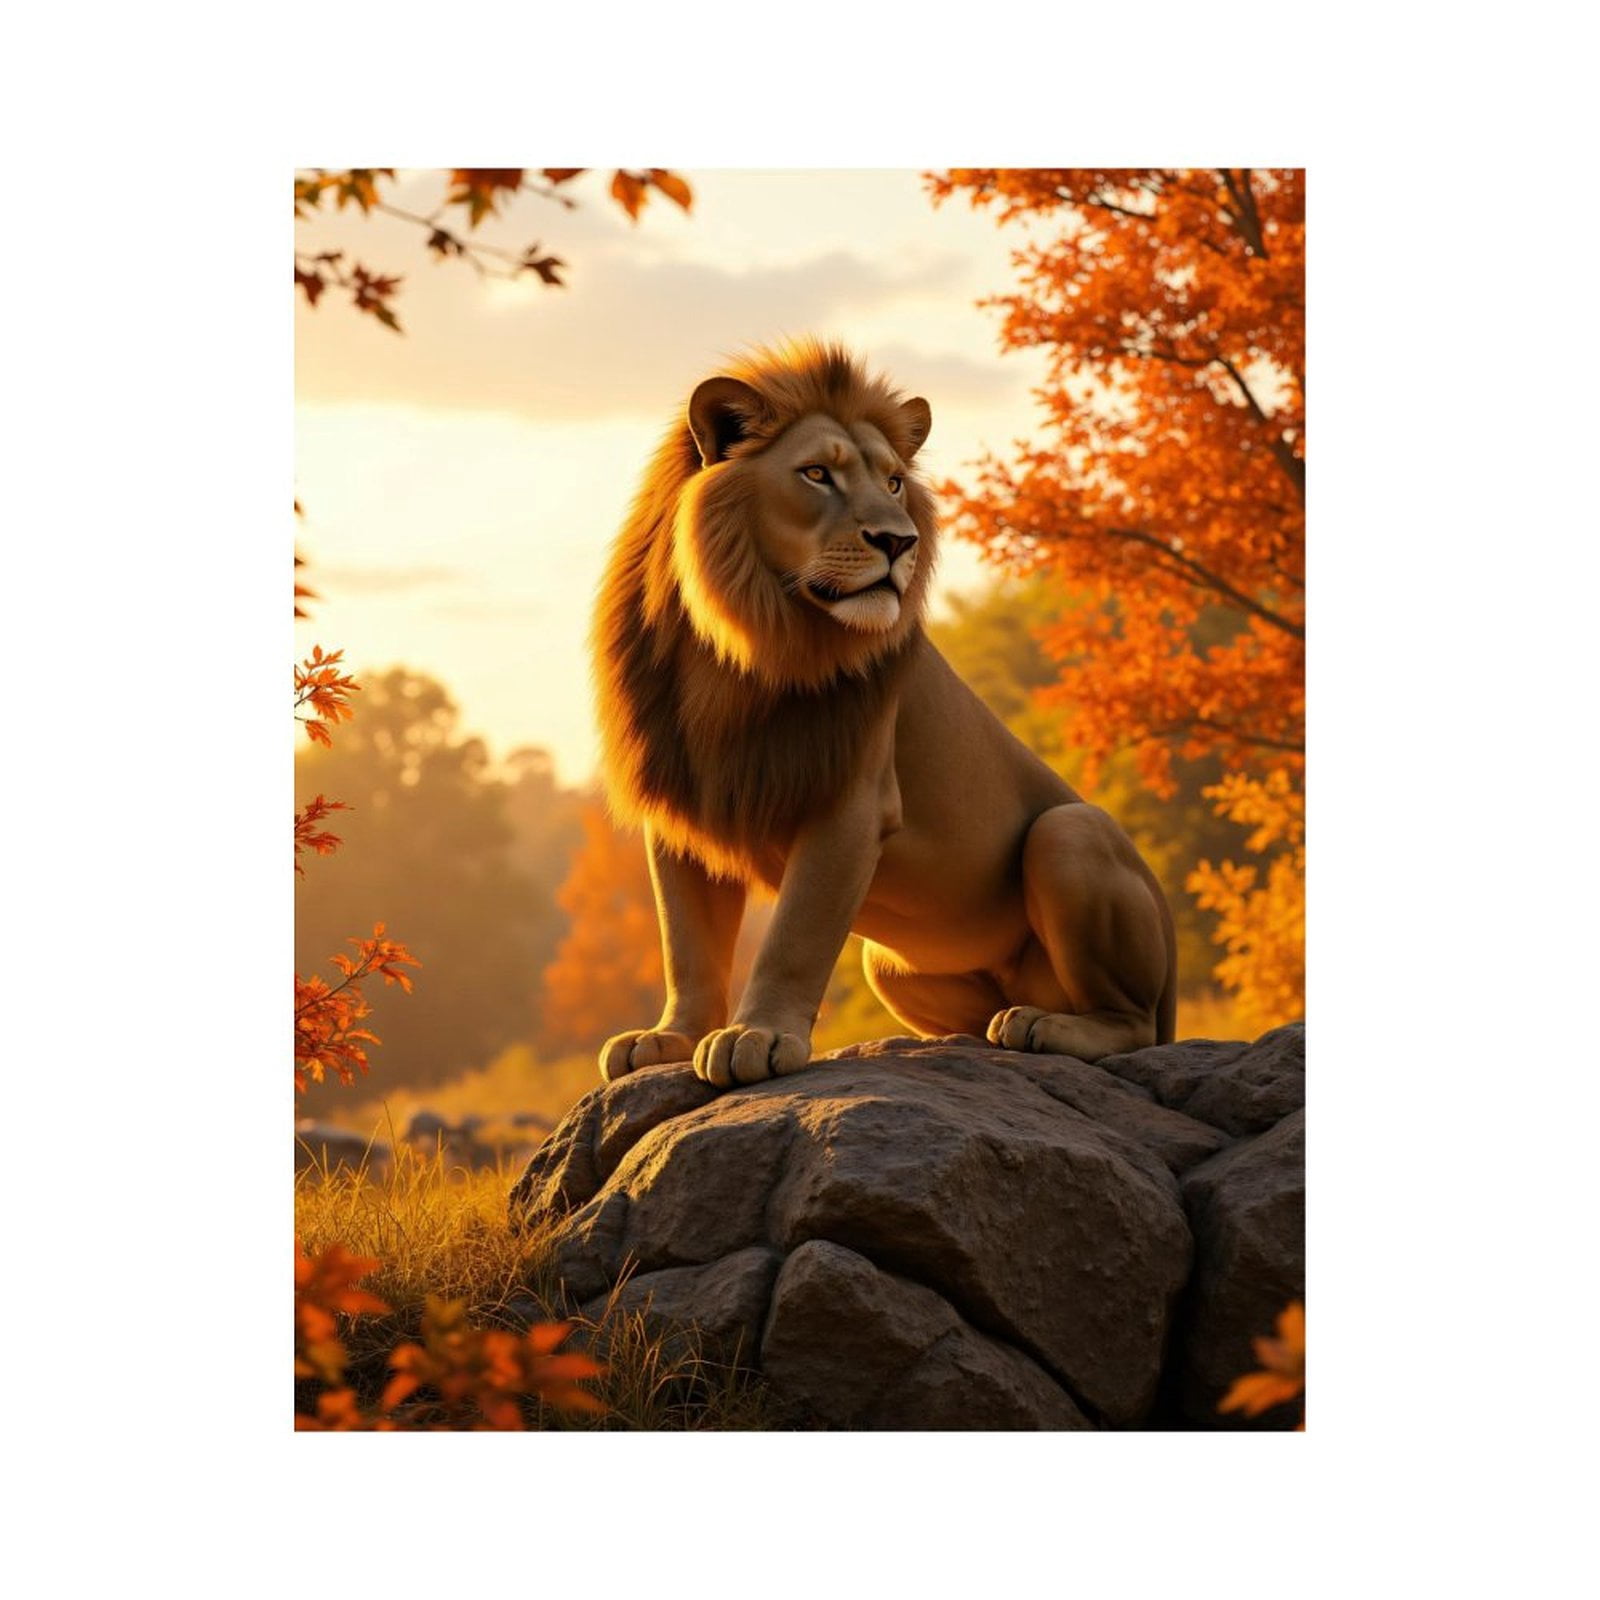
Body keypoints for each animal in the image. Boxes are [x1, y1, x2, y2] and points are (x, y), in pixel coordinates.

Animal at [592, 339, 1176, 1089]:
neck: (737, 647)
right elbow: (686, 941)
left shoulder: (852, 802)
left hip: (1070, 834)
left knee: (1131, 1024)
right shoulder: (682, 800)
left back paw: (1043, 1027)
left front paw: (757, 1036)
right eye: (817, 474)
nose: (898, 542)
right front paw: (670, 1037)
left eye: (895, 483)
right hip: (889, 966)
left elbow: (796, 934)